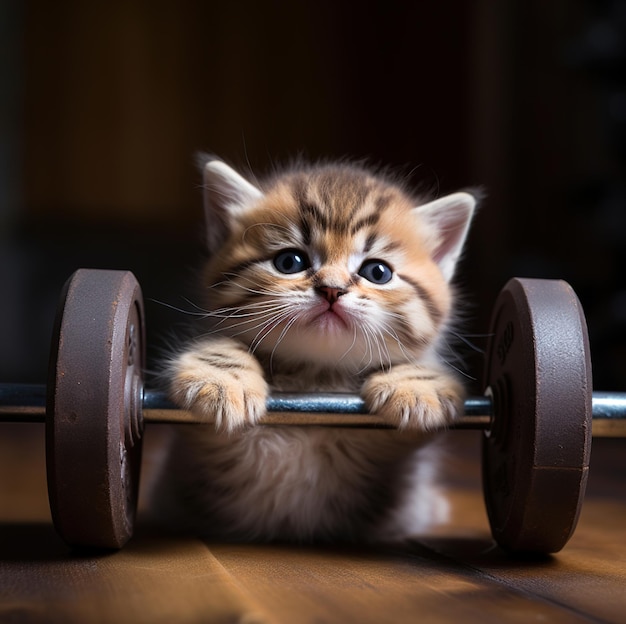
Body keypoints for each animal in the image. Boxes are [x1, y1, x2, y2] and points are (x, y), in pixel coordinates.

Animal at [154, 158, 476, 544]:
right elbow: (220, 348)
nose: (331, 289)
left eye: (377, 272)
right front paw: (219, 380)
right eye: (289, 262)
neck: (315, 376)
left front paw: (417, 387)